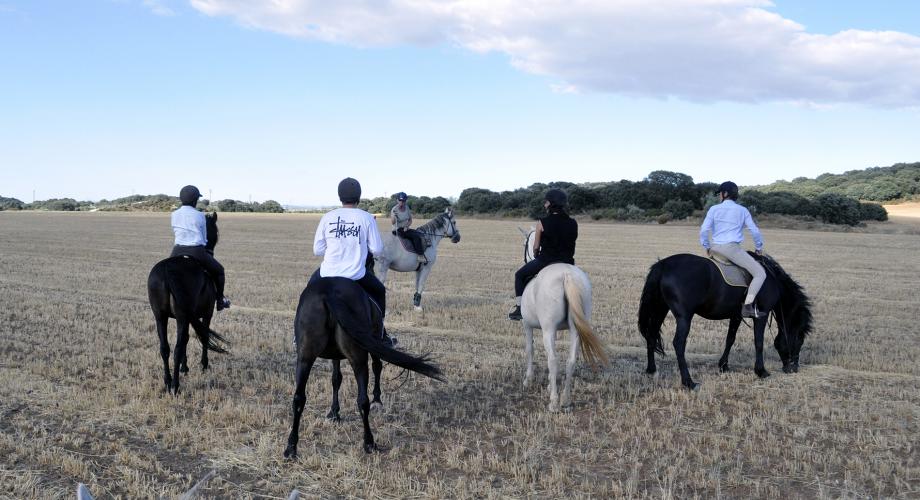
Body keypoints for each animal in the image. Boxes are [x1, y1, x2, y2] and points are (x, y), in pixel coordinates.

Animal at [146, 211, 229, 394]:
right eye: (216, 232)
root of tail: (166, 271)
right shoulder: (206, 313)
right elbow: (203, 337)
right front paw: (203, 365)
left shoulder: (186, 317)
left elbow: (187, 339)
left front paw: (184, 367)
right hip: (183, 316)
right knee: (176, 348)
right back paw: (175, 386)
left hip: (160, 316)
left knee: (165, 348)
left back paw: (168, 381)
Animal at [288, 278, 446, 458]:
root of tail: (329, 291)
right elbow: (377, 367)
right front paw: (377, 400)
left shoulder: (334, 356)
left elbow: (336, 379)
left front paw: (334, 413)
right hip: (360, 358)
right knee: (363, 399)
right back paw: (369, 442)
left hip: (305, 358)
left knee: (299, 398)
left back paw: (291, 448)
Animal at [516, 229, 612, 412]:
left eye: (525, 244)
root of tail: (566, 275)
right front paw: (548, 384)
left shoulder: (527, 325)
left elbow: (530, 350)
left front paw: (528, 380)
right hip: (575, 330)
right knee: (570, 361)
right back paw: (565, 399)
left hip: (548, 330)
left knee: (553, 360)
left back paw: (554, 402)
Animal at [640, 254, 812, 390]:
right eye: (799, 339)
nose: (794, 368)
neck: (771, 280)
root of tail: (663, 265)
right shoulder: (760, 316)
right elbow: (759, 342)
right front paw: (761, 371)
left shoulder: (736, 316)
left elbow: (730, 339)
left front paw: (723, 365)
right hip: (684, 317)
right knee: (678, 344)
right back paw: (689, 382)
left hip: (660, 309)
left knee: (651, 336)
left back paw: (651, 370)